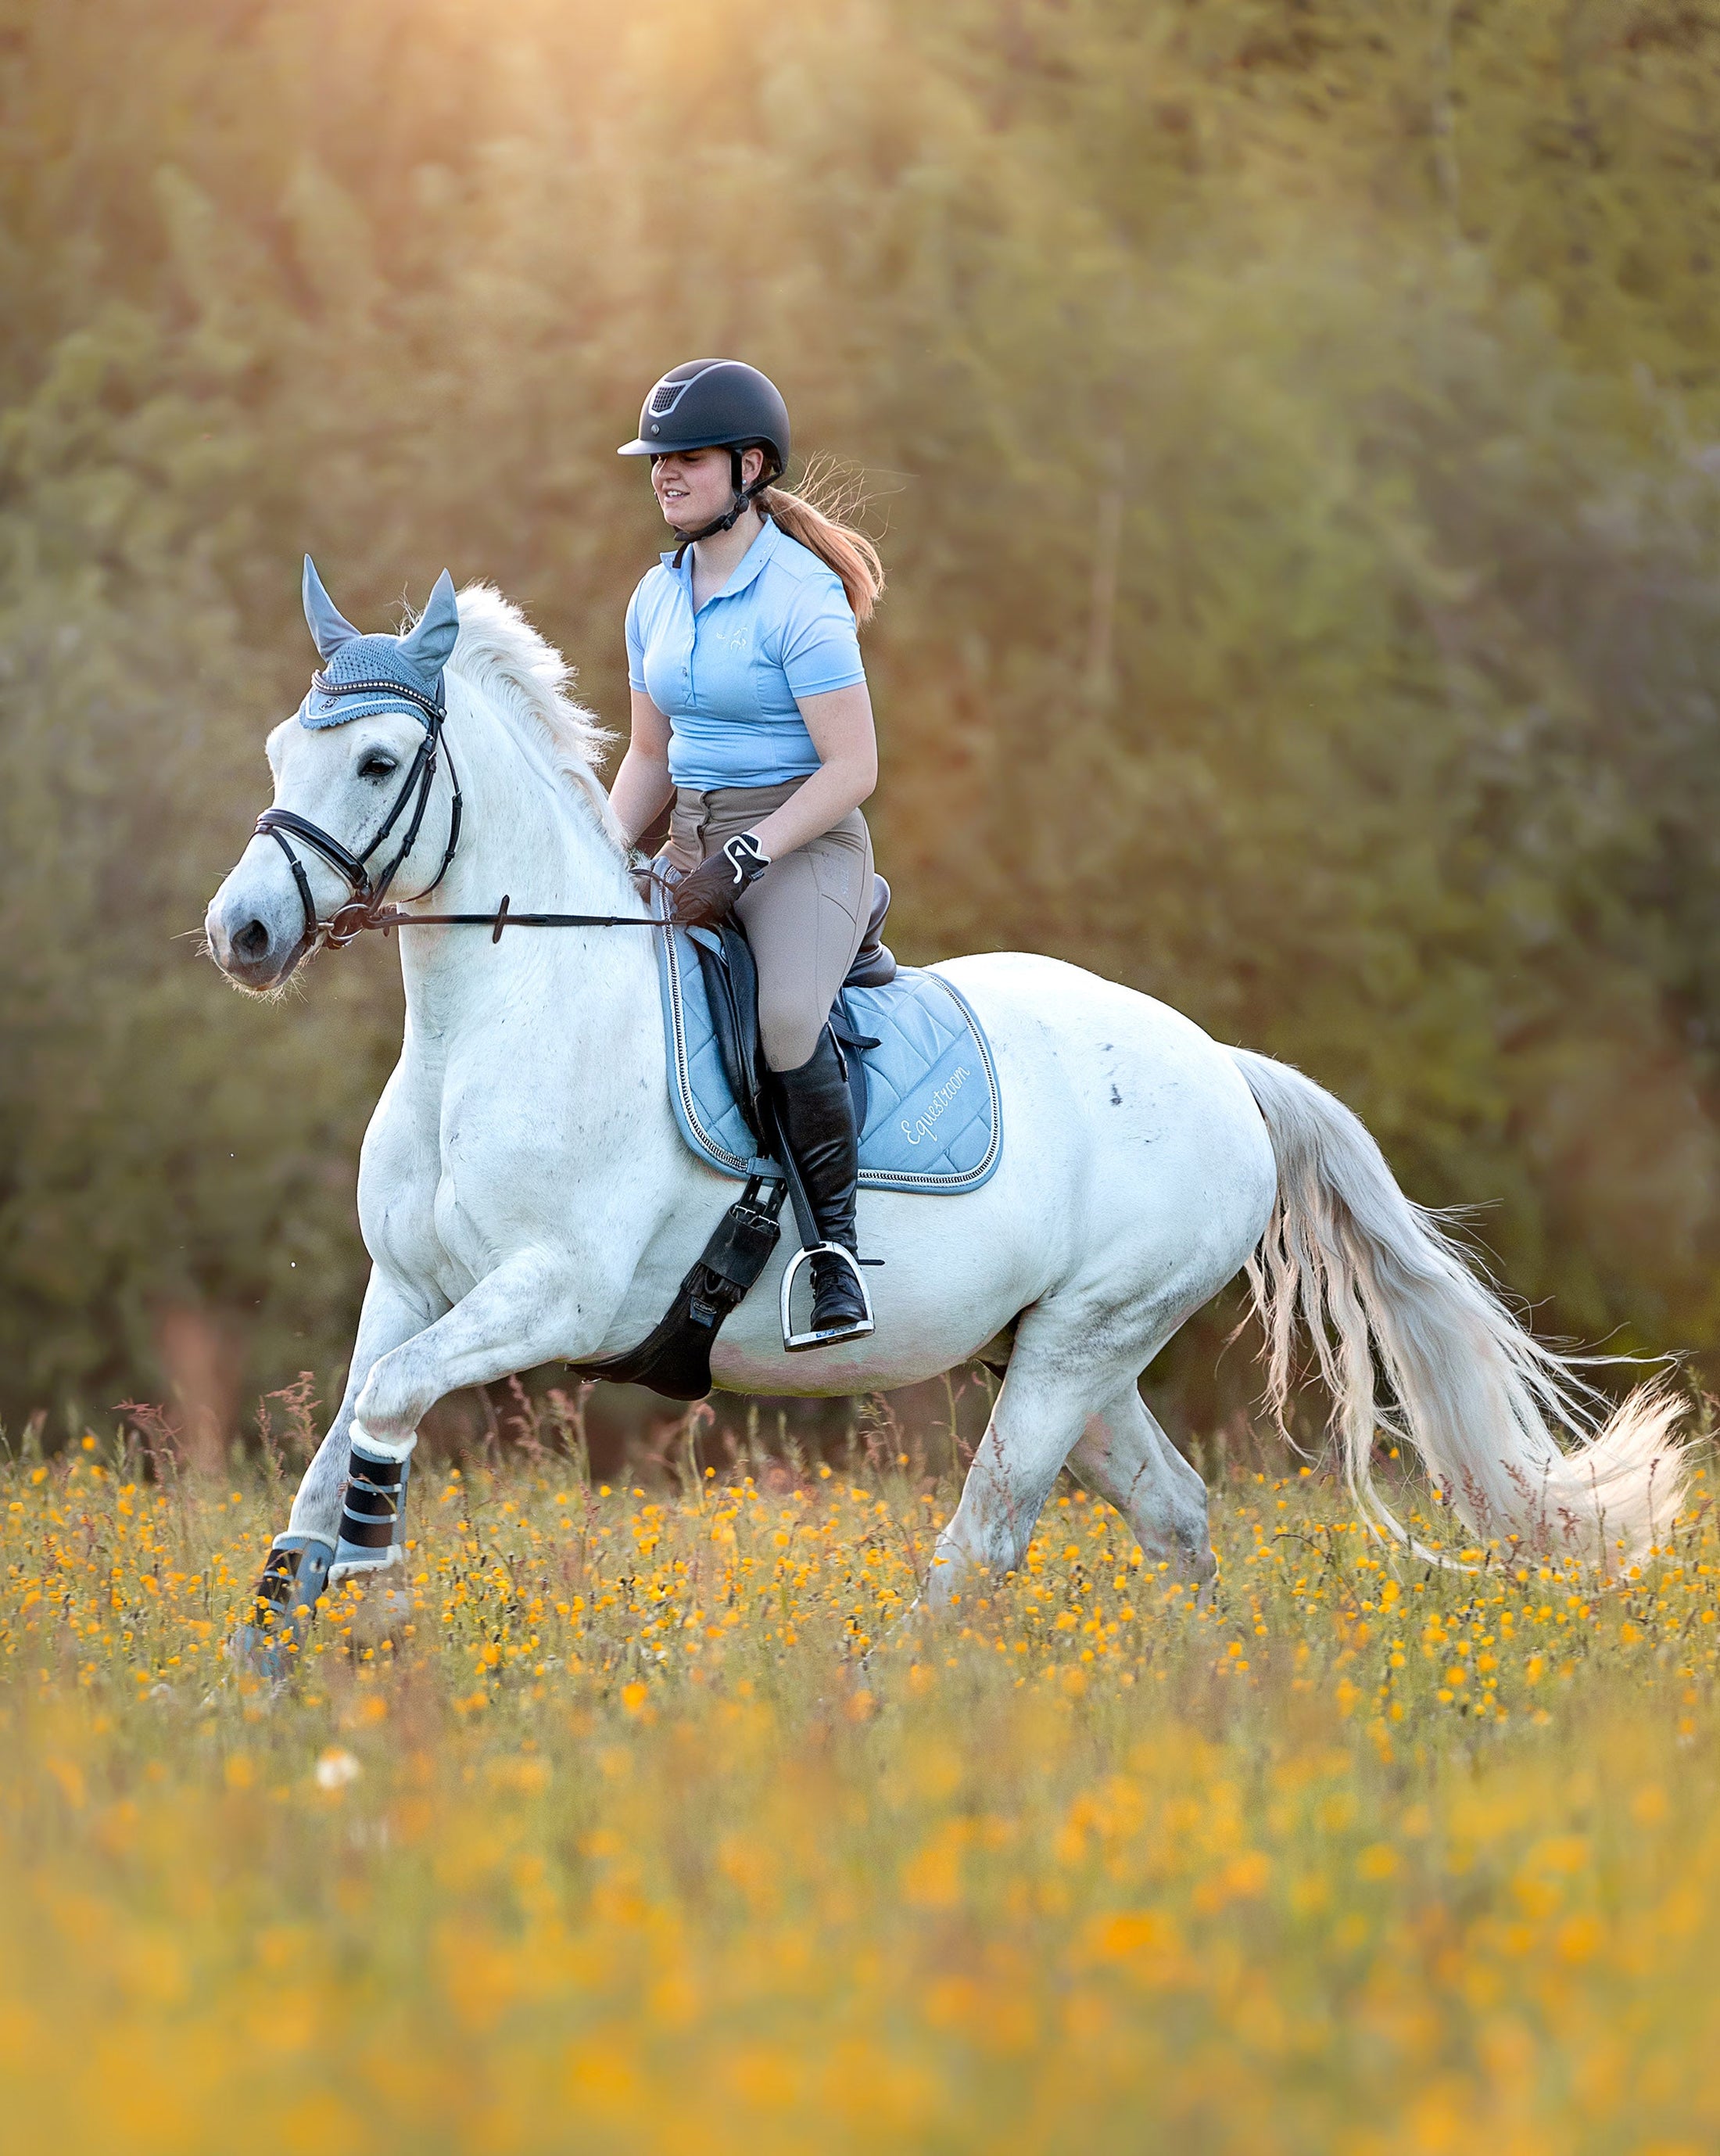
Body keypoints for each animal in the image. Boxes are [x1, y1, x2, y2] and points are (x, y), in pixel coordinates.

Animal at [205, 570, 1687, 1634]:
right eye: (280, 745)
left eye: (380, 763)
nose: (244, 932)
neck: (503, 1019)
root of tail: (1222, 1065)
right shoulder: (409, 1282)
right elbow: (340, 1436)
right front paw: (272, 1653)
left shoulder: (555, 1294)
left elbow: (386, 1412)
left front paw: (368, 1603)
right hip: (1068, 1354)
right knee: (1177, 1516)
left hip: (1085, 1340)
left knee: (984, 1535)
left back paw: (893, 1713)